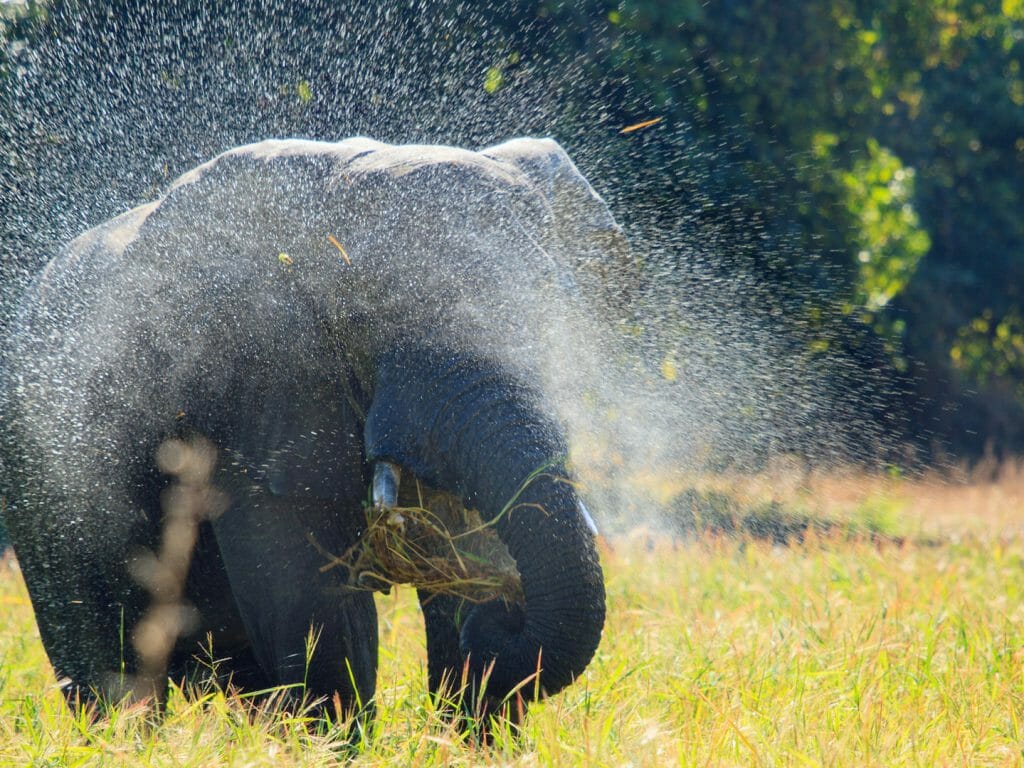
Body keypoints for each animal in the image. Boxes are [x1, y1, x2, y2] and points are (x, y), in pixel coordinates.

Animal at [0, 136, 619, 728]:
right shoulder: (250, 389)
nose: (510, 610)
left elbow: (463, 559)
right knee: (103, 658)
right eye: (364, 317)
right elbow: (310, 604)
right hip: (43, 478)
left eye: (555, 318)